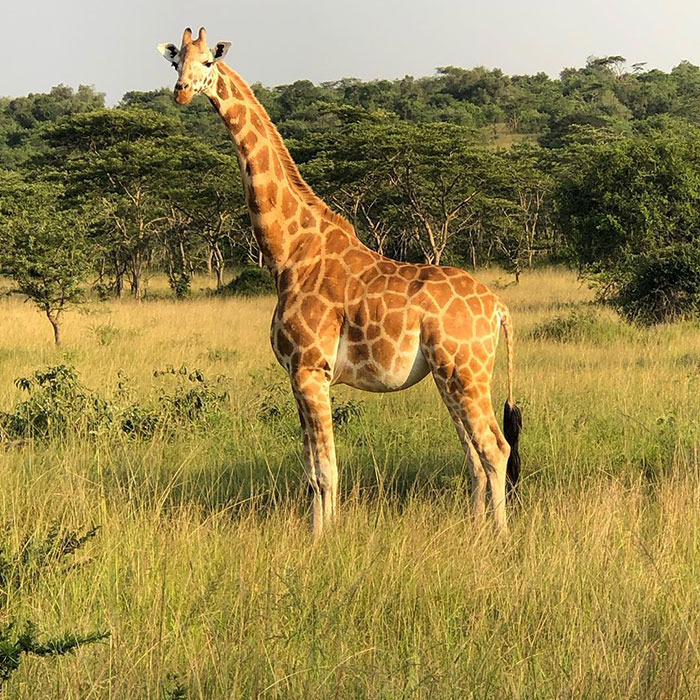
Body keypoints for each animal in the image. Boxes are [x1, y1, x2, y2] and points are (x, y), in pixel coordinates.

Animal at [158, 27, 523, 536]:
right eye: (176, 63)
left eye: (209, 61)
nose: (182, 92)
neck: (289, 252)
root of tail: (498, 308)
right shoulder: (302, 373)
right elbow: (315, 468)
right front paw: (321, 533)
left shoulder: (310, 367)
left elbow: (324, 471)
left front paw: (319, 540)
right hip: (451, 376)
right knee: (474, 454)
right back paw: (474, 530)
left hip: (465, 370)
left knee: (496, 449)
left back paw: (500, 537)